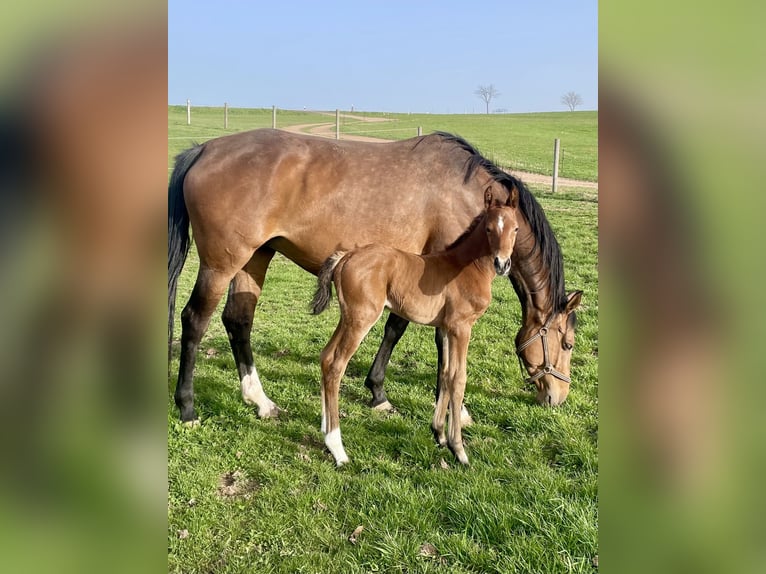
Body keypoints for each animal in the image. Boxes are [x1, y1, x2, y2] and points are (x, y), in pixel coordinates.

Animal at [168, 129, 581, 424]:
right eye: (568, 343)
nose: (558, 397)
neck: (475, 200)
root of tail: (204, 150)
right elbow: (437, 340)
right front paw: (454, 408)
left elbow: (396, 328)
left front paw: (378, 393)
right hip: (221, 264)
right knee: (195, 320)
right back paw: (187, 408)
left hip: (255, 257)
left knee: (238, 320)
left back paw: (260, 401)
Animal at [311, 190, 519, 465]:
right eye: (488, 228)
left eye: (515, 229)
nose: (502, 264)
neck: (465, 268)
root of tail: (345, 257)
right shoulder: (461, 327)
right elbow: (459, 378)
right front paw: (459, 450)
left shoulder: (447, 328)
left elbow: (445, 374)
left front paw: (439, 434)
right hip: (361, 319)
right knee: (336, 366)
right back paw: (337, 448)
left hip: (347, 318)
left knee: (325, 357)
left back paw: (325, 431)